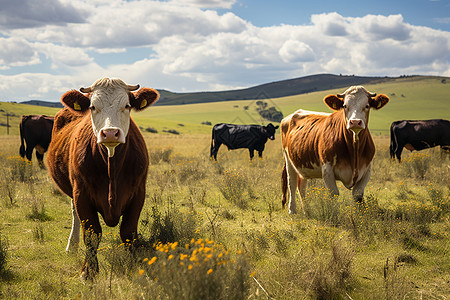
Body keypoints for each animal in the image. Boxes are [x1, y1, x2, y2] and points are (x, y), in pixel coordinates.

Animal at [46, 78, 159, 278]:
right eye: (92, 107)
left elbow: (128, 232)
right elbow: (92, 234)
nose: (110, 133)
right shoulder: (81, 194)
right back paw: (71, 246)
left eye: (127, 106)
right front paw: (88, 272)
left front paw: (133, 265)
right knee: (75, 215)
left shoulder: (138, 193)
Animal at [282, 85, 390, 214]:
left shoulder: (367, 169)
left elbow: (358, 195)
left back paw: (306, 210)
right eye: (345, 106)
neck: (354, 150)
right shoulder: (327, 168)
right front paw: (334, 214)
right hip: (288, 159)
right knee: (292, 184)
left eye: (367, 105)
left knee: (301, 185)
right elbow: (334, 194)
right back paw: (292, 210)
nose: (355, 122)